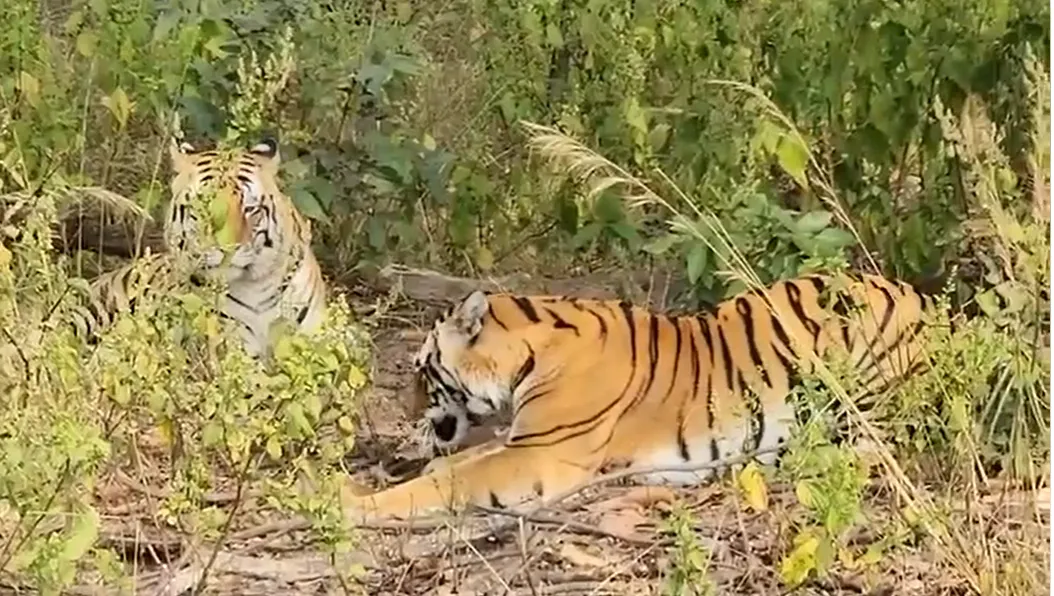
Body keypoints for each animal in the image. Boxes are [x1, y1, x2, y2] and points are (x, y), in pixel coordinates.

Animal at [341, 272, 938, 522]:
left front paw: (350, 502)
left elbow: (447, 482)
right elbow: (455, 465)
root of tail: (923, 299)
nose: (406, 414)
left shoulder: (536, 455)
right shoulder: (519, 442)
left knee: (882, 448)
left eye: (422, 373)